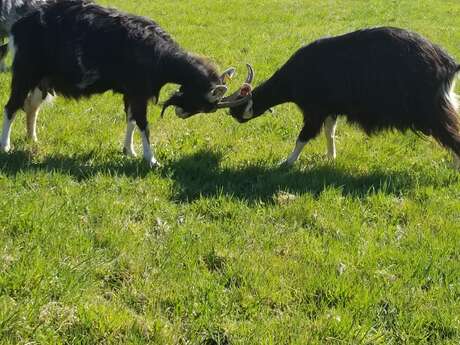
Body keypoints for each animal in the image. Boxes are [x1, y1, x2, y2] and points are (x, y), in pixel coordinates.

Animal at [0, 0, 243, 167]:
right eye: (206, 106)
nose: (180, 113)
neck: (158, 55)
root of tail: (18, 26)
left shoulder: (131, 93)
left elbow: (131, 120)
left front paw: (129, 151)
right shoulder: (139, 92)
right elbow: (143, 123)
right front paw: (151, 159)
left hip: (41, 81)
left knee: (30, 107)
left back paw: (32, 139)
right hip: (25, 72)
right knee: (11, 107)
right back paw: (5, 146)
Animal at [229, 26, 460, 168]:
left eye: (238, 107)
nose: (231, 112)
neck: (297, 74)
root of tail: (448, 63)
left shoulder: (315, 111)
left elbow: (303, 137)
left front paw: (287, 162)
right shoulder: (331, 110)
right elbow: (329, 134)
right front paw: (331, 158)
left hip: (432, 111)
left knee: (452, 133)